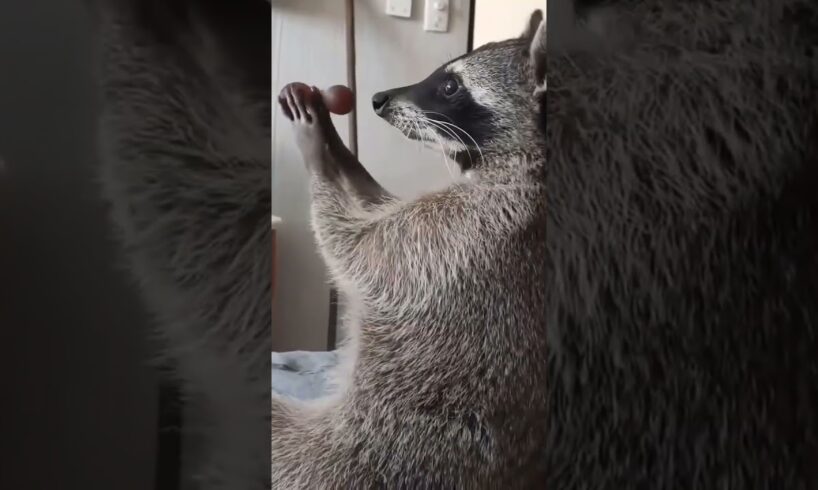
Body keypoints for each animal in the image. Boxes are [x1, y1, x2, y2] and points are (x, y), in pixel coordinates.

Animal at [272, 9, 548, 488]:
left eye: (451, 86)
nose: (378, 98)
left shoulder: (464, 234)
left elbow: (355, 250)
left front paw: (319, 151)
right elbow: (379, 207)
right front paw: (343, 154)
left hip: (344, 461)